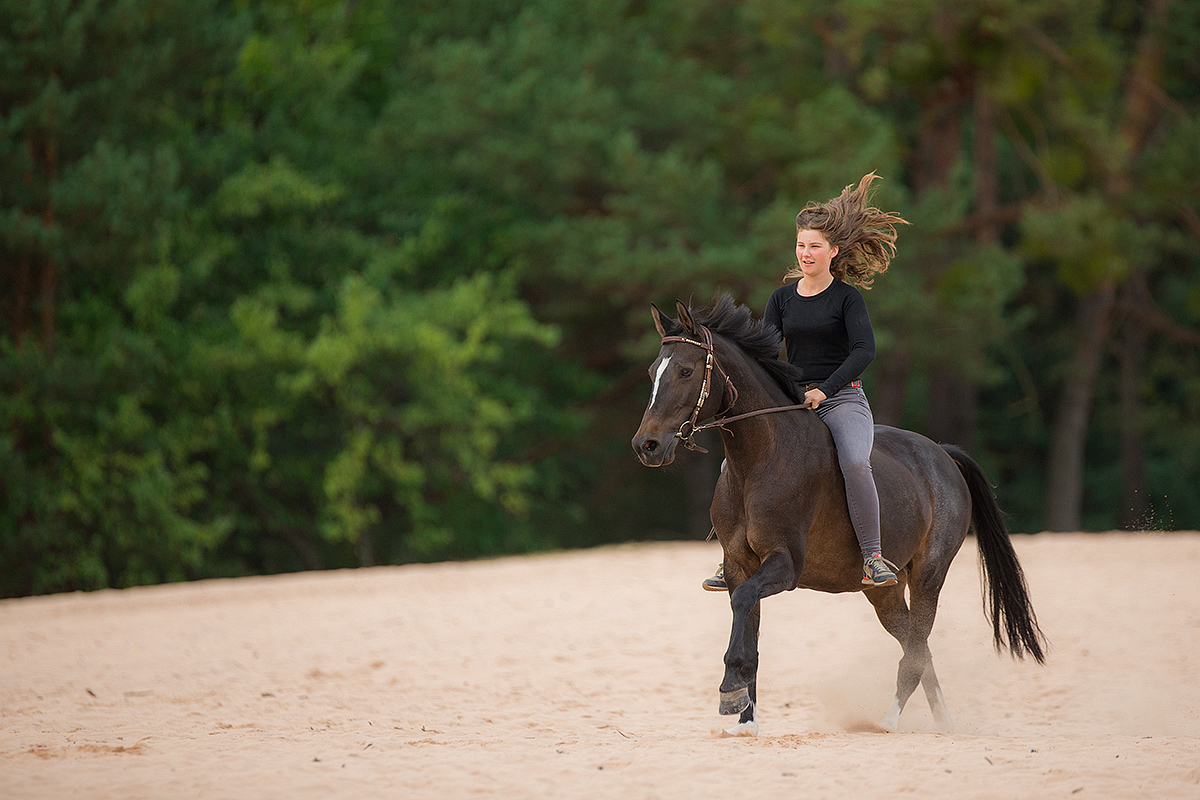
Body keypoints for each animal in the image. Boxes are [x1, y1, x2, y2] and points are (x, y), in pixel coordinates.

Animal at [633, 297, 1046, 734]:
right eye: (652, 372)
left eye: (685, 370)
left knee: (916, 652)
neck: (759, 460)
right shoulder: (738, 566)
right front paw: (745, 717)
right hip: (885, 593)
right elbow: (749, 629)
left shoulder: (784, 565)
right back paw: (943, 724)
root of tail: (942, 454)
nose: (647, 445)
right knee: (918, 648)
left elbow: (744, 607)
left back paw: (888, 722)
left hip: (929, 576)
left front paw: (730, 689)